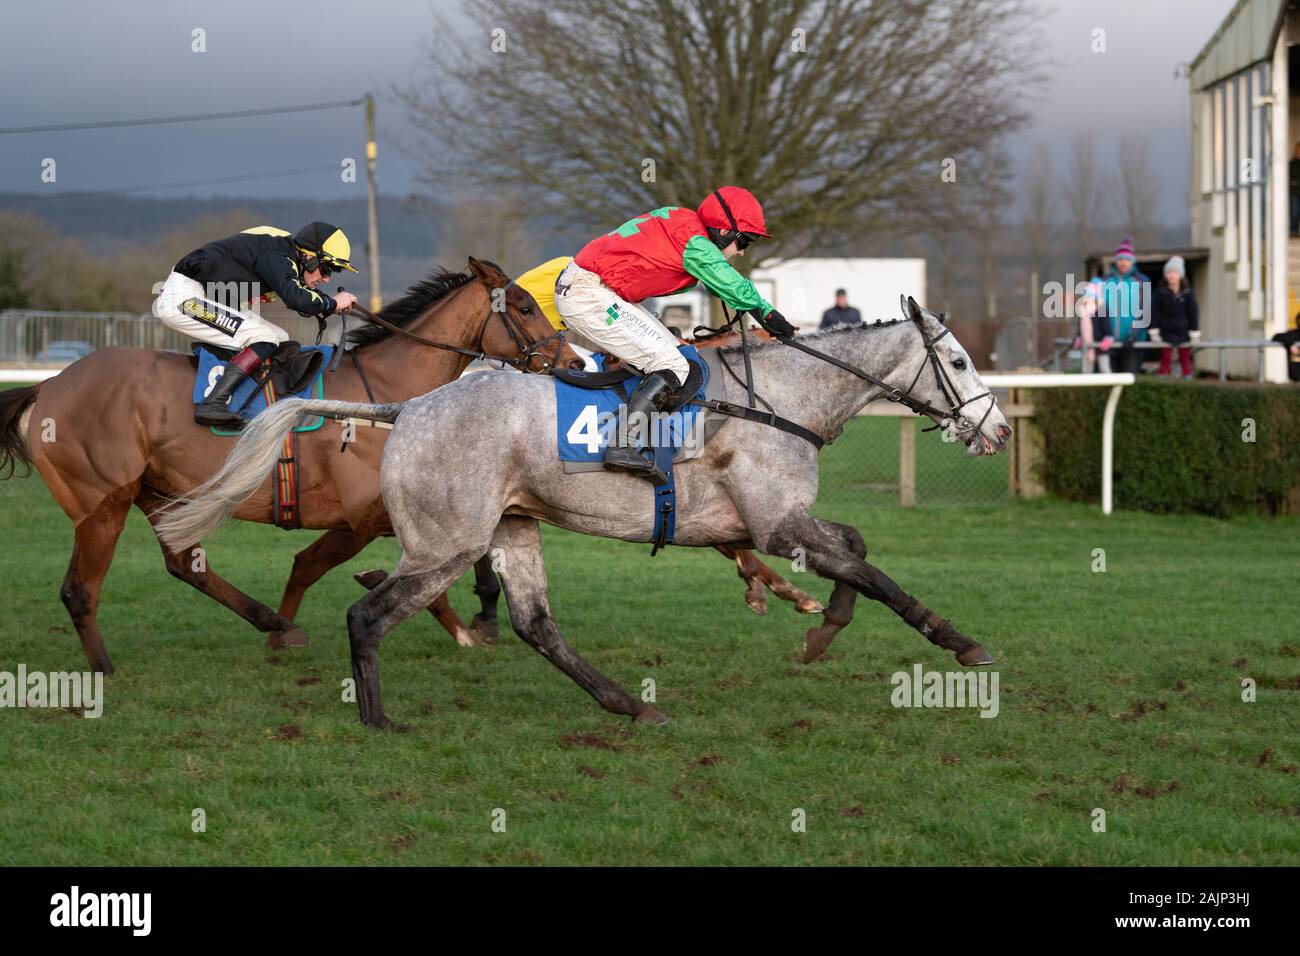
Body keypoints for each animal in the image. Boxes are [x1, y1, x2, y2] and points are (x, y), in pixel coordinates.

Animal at [157, 295, 1013, 728]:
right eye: (958, 360)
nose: (999, 429)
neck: (780, 399)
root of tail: (407, 410)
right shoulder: (773, 522)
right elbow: (878, 574)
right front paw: (960, 642)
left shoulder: (761, 526)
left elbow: (856, 551)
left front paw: (820, 630)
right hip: (446, 543)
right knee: (369, 614)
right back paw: (378, 719)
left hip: (511, 527)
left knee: (536, 625)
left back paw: (625, 703)